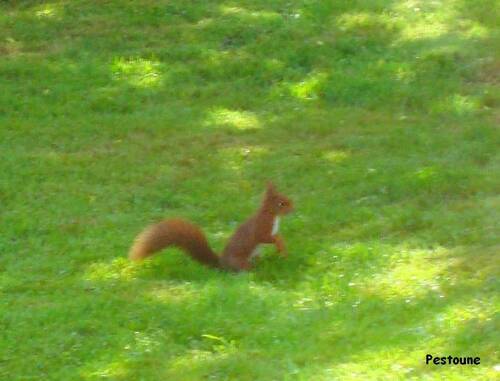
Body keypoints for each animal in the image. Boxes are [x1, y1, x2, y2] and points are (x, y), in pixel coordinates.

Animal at [128, 182, 292, 268]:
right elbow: (266, 237)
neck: (272, 214)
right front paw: (280, 243)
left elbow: (277, 236)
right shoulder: (261, 227)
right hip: (240, 261)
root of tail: (221, 264)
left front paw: (282, 245)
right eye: (282, 203)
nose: (293, 207)